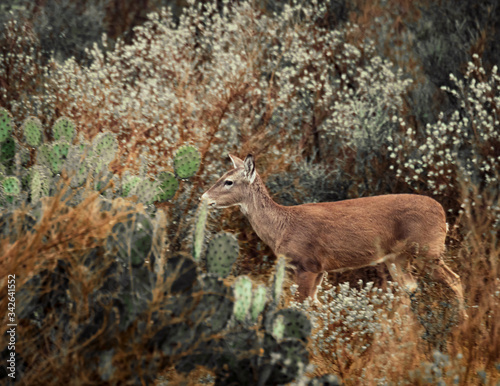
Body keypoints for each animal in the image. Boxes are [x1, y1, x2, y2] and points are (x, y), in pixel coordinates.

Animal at [201, 154, 466, 320]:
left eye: (228, 181)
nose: (203, 197)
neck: (282, 228)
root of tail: (443, 213)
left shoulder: (307, 264)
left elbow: (302, 306)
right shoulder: (320, 270)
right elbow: (316, 305)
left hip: (428, 251)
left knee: (455, 280)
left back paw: (462, 324)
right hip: (397, 258)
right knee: (410, 288)